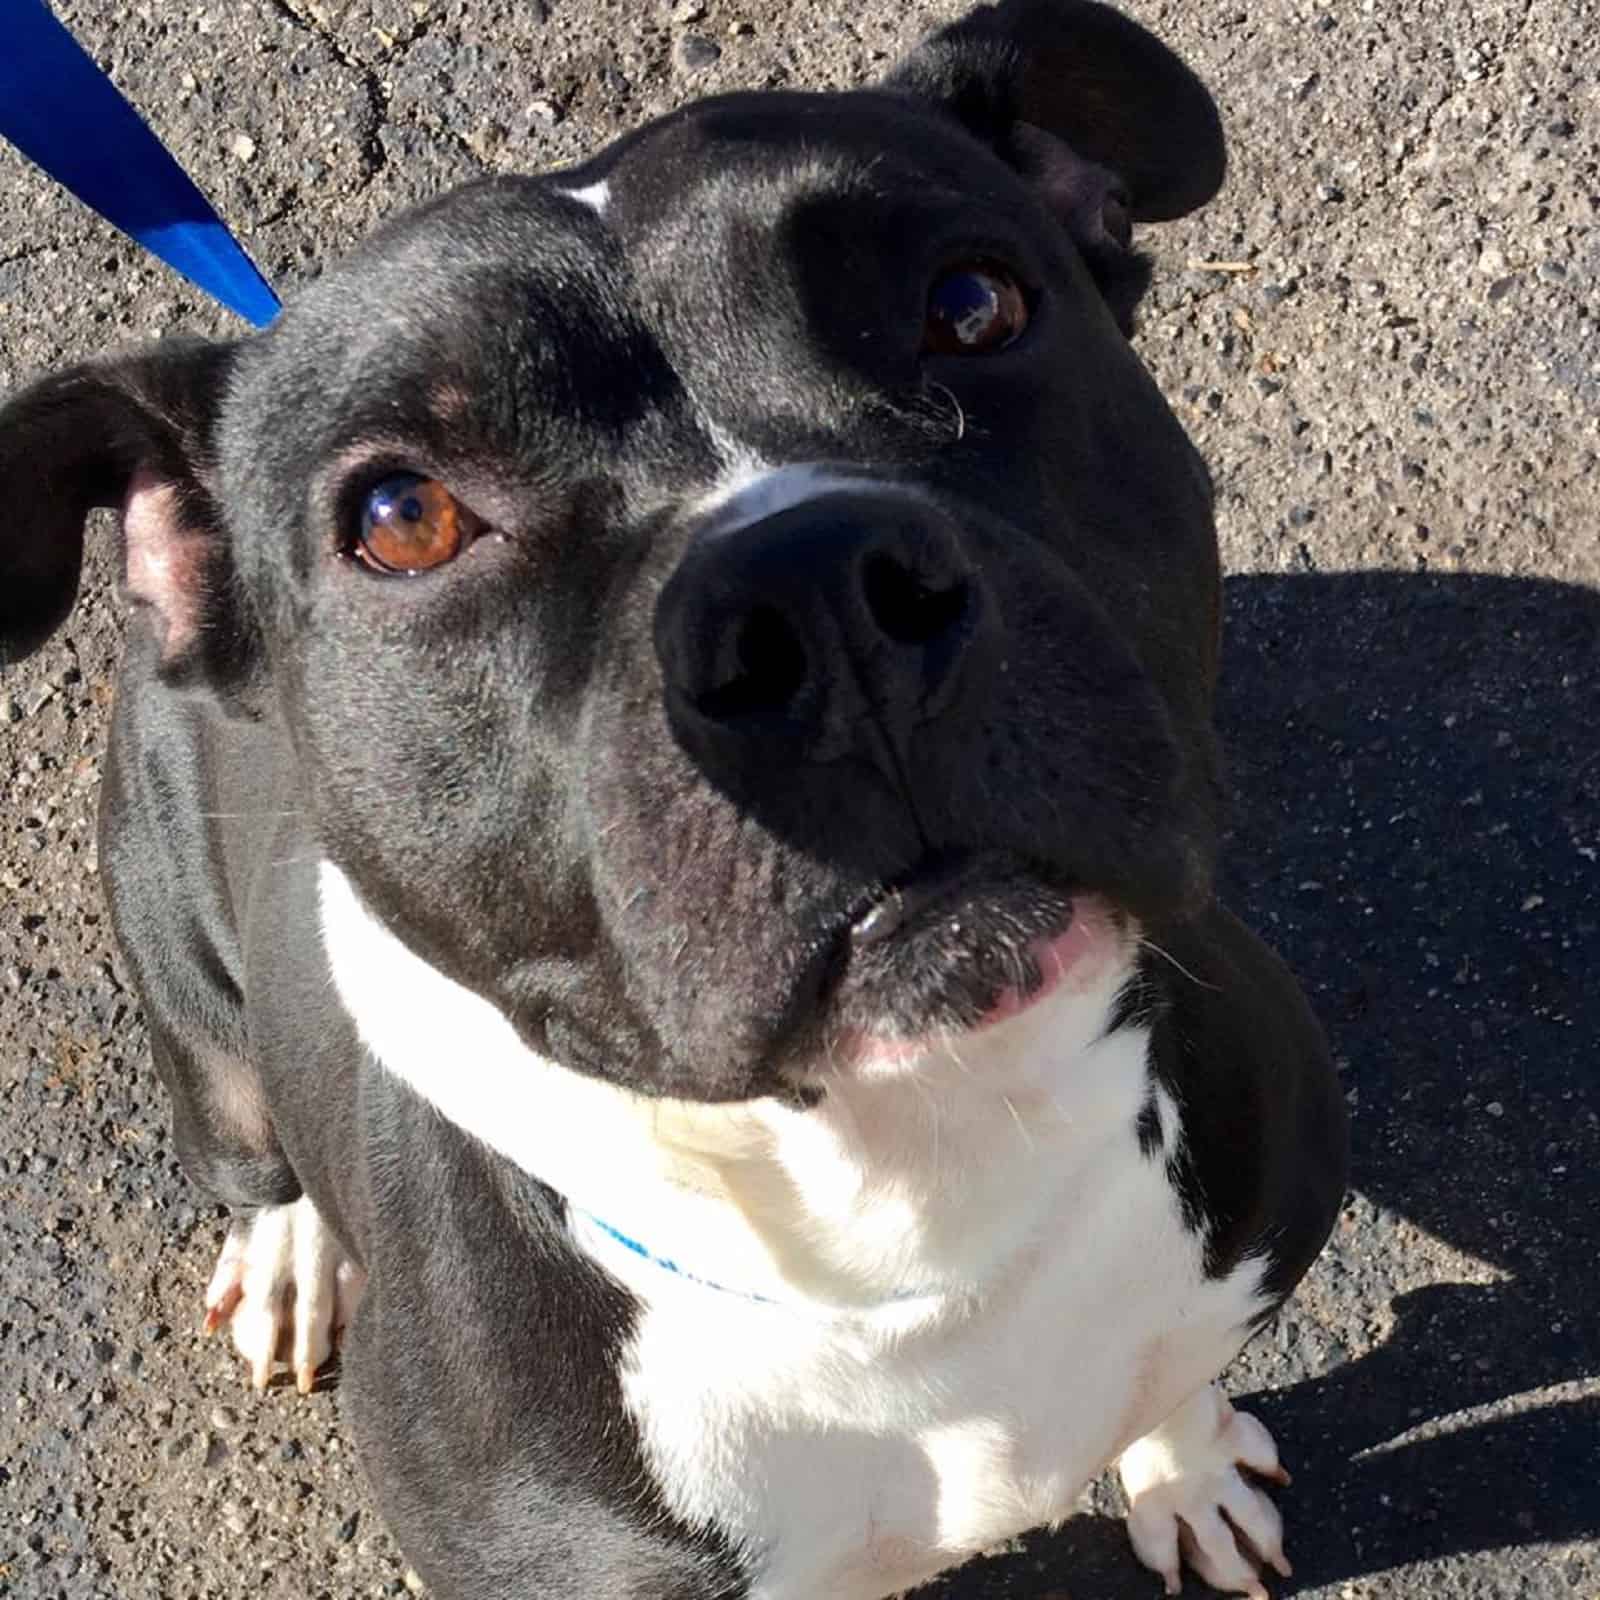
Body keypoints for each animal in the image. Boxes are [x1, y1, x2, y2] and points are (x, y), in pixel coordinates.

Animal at [0, 0, 1350, 1593]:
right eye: (403, 518)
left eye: (972, 304)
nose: (814, 590)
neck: (914, 1205)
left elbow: (1174, 1377)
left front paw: (1183, 1470)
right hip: (184, 986)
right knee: (240, 1136)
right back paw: (286, 1250)